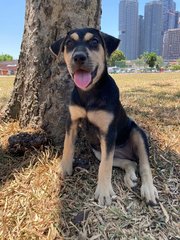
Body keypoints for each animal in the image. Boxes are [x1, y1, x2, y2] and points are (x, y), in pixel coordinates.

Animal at [50, 27, 158, 206]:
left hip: (137, 134)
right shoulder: (72, 121)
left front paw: (104, 192)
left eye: (94, 41)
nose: (78, 57)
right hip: (99, 151)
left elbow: (105, 167)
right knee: (129, 162)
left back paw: (149, 190)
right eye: (69, 43)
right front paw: (64, 169)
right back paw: (130, 177)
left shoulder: (108, 132)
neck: (89, 92)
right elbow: (68, 146)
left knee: (143, 164)